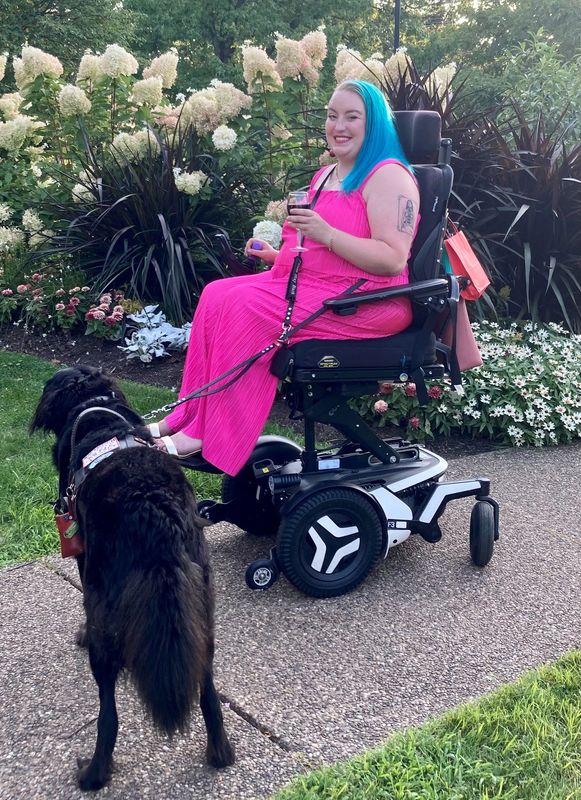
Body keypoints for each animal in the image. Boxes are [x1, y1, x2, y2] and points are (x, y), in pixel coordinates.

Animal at [30, 366, 234, 792]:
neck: (94, 407)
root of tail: (152, 506)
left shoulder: (83, 550)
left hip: (106, 623)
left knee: (108, 715)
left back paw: (93, 773)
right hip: (201, 605)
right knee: (207, 688)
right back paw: (221, 753)